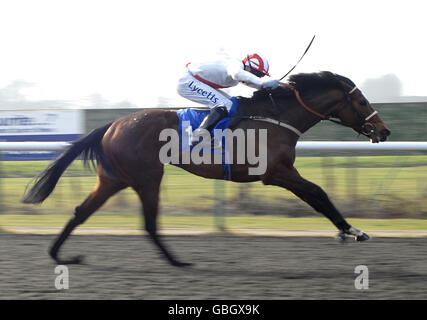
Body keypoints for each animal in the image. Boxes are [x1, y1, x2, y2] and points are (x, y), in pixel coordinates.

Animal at [22, 71, 392, 266]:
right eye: (361, 101)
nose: (384, 131)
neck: (276, 117)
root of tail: (113, 124)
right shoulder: (275, 174)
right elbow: (318, 193)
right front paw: (353, 230)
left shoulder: (282, 173)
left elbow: (316, 196)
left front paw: (347, 231)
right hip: (147, 177)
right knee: (149, 223)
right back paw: (176, 262)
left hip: (115, 179)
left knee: (82, 211)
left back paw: (59, 256)